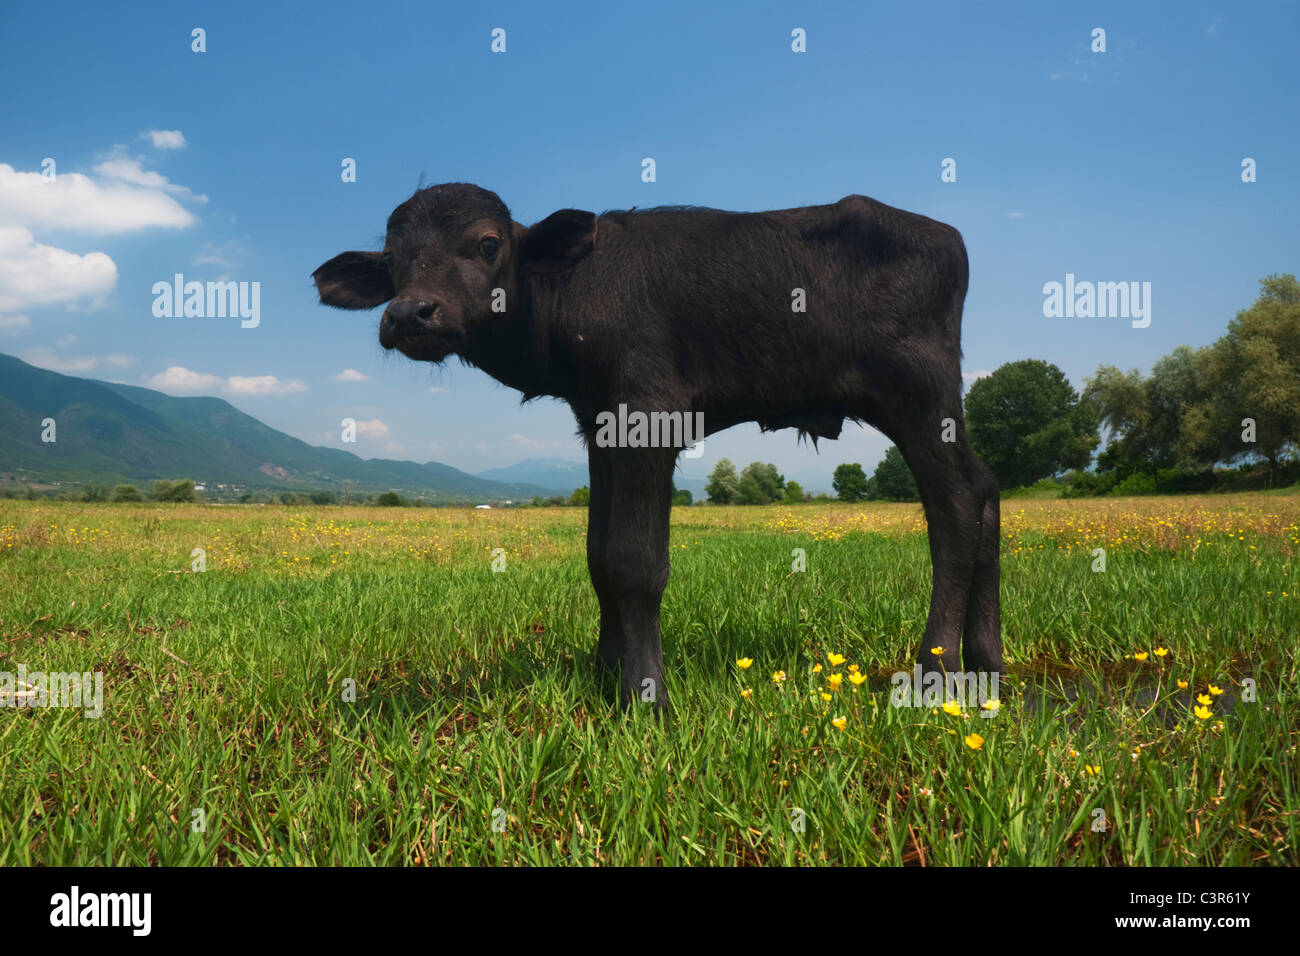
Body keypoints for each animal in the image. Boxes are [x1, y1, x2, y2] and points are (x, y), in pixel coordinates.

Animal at [313, 182, 1002, 714]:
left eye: (487, 243)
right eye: (392, 259)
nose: (410, 313)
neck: (568, 294)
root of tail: (946, 235)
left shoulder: (651, 415)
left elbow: (634, 561)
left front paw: (644, 695)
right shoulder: (600, 424)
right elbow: (597, 556)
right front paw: (603, 671)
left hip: (919, 393)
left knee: (955, 505)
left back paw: (934, 670)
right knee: (986, 489)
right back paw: (987, 661)